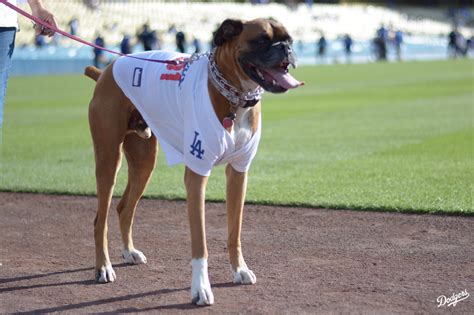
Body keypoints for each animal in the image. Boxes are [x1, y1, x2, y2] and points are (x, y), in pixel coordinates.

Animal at [84, 17, 302, 306]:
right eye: (262, 40)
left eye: (288, 39)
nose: (285, 49)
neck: (233, 96)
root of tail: (107, 71)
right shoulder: (197, 176)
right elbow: (200, 244)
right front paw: (200, 289)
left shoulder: (239, 173)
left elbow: (234, 231)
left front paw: (239, 269)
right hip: (109, 159)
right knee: (100, 219)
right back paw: (103, 267)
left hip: (143, 162)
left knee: (124, 208)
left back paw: (129, 252)